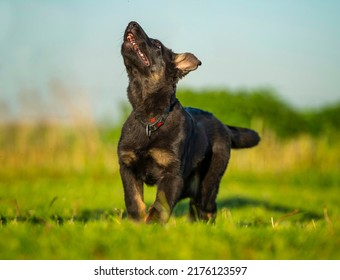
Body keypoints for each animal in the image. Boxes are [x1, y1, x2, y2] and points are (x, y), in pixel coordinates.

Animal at [118, 21, 258, 223]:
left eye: (157, 45)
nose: (132, 23)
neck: (150, 119)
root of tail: (223, 125)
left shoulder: (172, 175)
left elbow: (159, 206)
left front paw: (151, 226)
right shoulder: (127, 167)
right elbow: (134, 202)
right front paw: (135, 226)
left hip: (208, 182)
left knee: (208, 208)